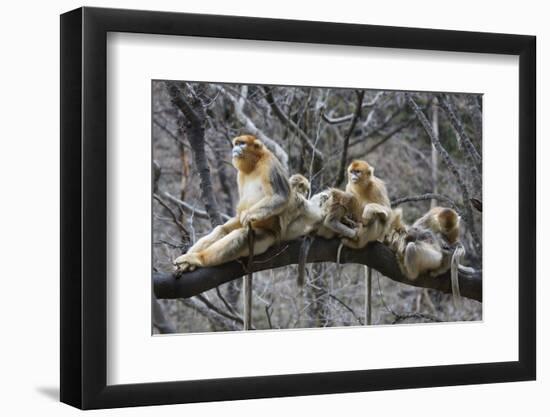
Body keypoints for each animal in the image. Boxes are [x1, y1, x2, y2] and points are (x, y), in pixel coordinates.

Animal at [175, 134, 292, 272]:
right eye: (236, 143)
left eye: (242, 144)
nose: (235, 148)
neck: (255, 163)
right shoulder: (240, 175)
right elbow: (237, 215)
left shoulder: (269, 164)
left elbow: (281, 196)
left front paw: (248, 215)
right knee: (222, 229)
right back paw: (188, 262)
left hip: (269, 236)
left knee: (242, 236)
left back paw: (198, 259)